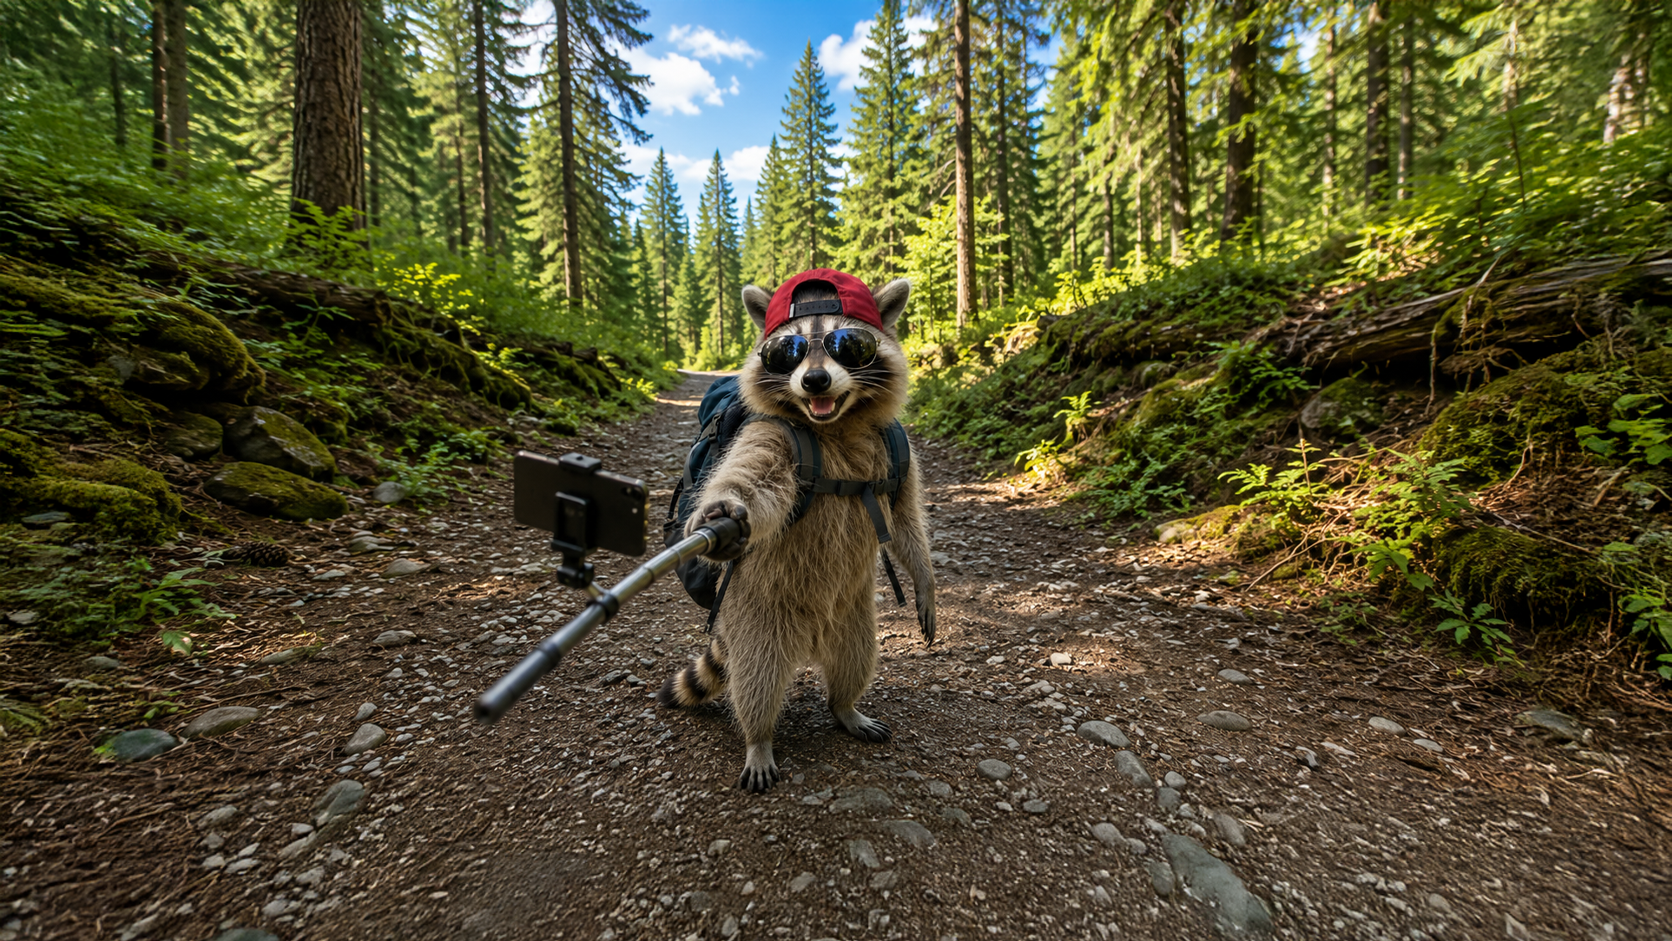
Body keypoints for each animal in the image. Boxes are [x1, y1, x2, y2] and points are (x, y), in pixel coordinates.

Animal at [657, 269, 937, 792]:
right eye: (788, 349)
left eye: (850, 345)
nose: (814, 380)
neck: (834, 422)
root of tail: (811, 639)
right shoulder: (771, 437)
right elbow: (751, 479)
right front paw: (722, 508)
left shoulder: (900, 449)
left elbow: (906, 518)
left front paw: (925, 577)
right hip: (756, 616)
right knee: (757, 681)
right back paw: (759, 737)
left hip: (853, 617)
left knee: (855, 660)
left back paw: (844, 707)